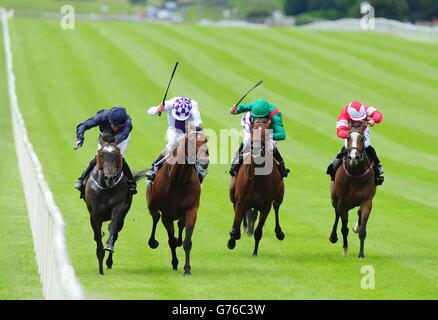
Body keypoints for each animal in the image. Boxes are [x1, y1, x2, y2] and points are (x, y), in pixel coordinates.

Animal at [84, 135, 146, 276]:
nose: (110, 178)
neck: (106, 188)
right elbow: (97, 235)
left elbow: (112, 228)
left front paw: (108, 246)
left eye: (117, 155)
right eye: (101, 155)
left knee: (116, 233)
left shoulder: (118, 207)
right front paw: (100, 264)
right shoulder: (94, 213)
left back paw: (109, 262)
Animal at [146, 127, 208, 276]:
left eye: (206, 140)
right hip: (151, 204)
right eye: (191, 142)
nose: (204, 162)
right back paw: (153, 241)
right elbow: (171, 241)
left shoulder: (192, 210)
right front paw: (175, 263)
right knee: (155, 217)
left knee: (180, 224)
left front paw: (187, 269)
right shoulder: (167, 215)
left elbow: (187, 242)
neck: (179, 180)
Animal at [228, 119, 286, 256]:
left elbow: (259, 232)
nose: (256, 148)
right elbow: (236, 229)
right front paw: (231, 241)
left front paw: (254, 252)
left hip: (280, 195)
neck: (257, 179)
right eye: (252, 131)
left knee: (276, 207)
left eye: (266, 133)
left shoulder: (266, 205)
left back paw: (279, 232)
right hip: (232, 193)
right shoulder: (241, 200)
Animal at [328, 124, 376, 258]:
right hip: (335, 200)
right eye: (348, 138)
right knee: (337, 215)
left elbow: (362, 230)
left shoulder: (367, 201)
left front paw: (361, 254)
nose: (354, 157)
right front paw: (345, 249)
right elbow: (344, 228)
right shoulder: (342, 202)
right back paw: (333, 237)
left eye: (363, 138)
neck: (356, 174)